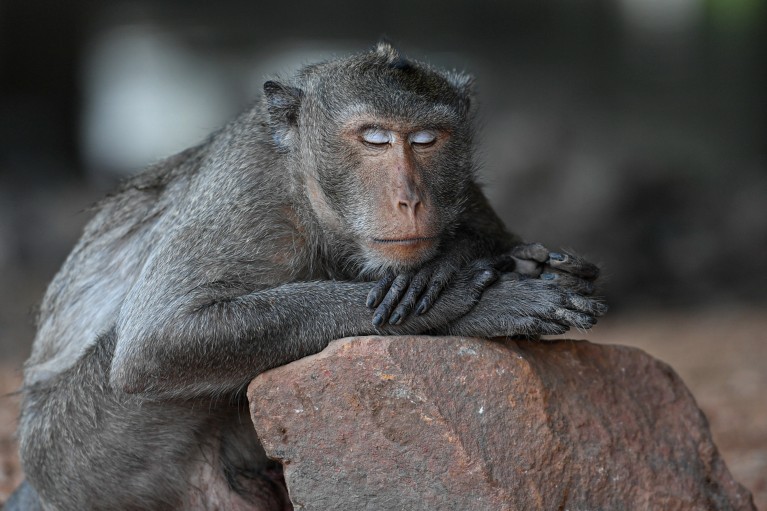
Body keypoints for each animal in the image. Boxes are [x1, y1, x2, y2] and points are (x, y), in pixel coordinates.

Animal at [6, 43, 608, 511]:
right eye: (374, 139)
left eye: (426, 140)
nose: (411, 200)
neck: (311, 194)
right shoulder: (248, 193)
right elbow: (155, 342)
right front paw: (468, 297)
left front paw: (464, 258)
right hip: (75, 454)